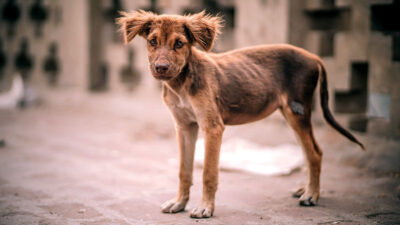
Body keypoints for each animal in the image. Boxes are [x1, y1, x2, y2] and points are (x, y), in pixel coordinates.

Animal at [117, 10, 364, 218]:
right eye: (152, 42)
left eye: (179, 44)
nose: (161, 68)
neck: (182, 83)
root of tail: (313, 56)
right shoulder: (185, 127)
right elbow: (183, 171)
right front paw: (179, 202)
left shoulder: (212, 127)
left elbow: (208, 172)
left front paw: (205, 207)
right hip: (290, 113)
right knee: (308, 151)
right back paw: (306, 188)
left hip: (298, 111)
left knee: (315, 153)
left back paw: (312, 195)